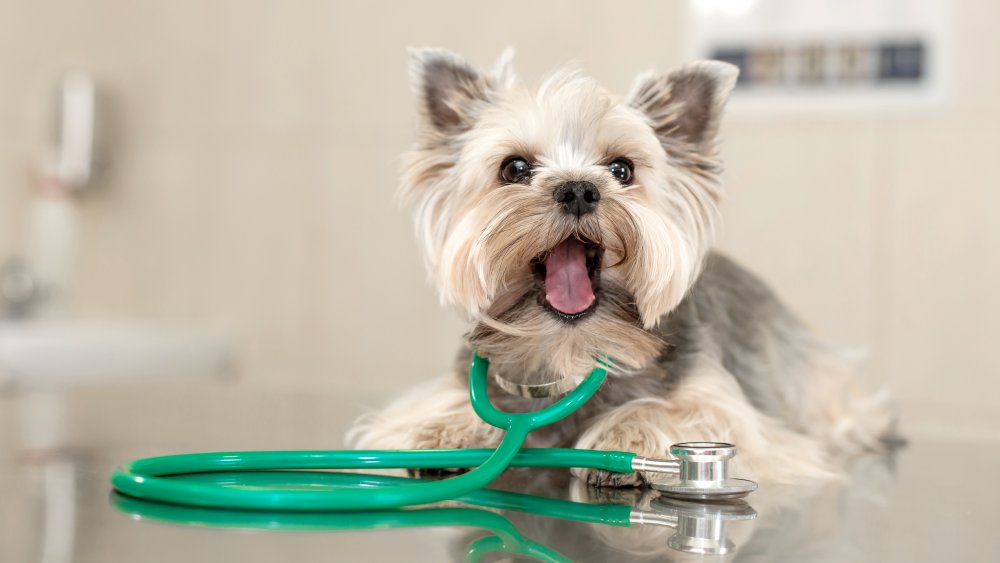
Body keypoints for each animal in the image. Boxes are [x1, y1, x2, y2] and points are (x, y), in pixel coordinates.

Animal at [348, 48, 896, 486]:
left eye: (621, 169)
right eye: (515, 168)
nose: (577, 188)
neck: (569, 347)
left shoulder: (730, 410)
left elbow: (688, 412)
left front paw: (629, 435)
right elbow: (430, 408)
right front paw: (445, 426)